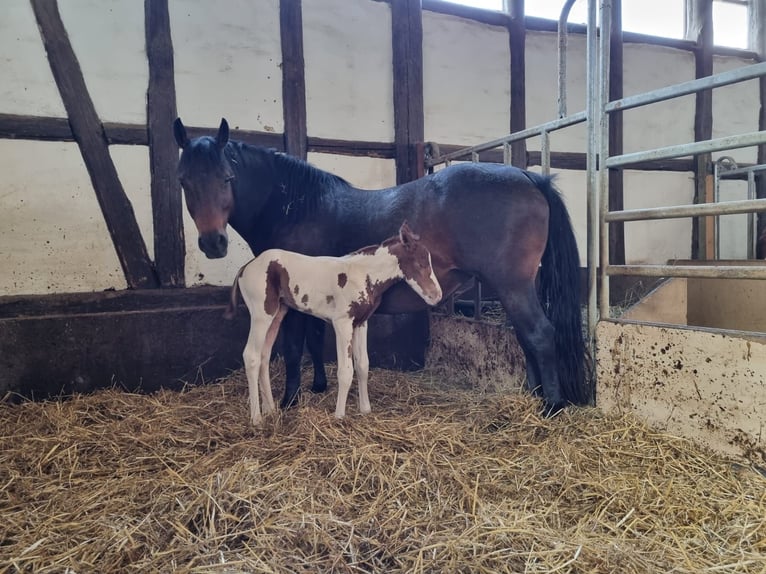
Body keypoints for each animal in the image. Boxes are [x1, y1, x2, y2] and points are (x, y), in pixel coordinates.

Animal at [226, 222, 442, 425]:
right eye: (421, 264)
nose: (436, 296)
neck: (363, 275)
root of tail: (245, 268)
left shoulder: (361, 323)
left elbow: (363, 365)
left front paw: (365, 410)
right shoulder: (342, 324)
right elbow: (345, 371)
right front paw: (339, 415)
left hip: (277, 314)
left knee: (264, 356)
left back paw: (270, 409)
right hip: (261, 315)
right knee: (251, 356)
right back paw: (256, 418)